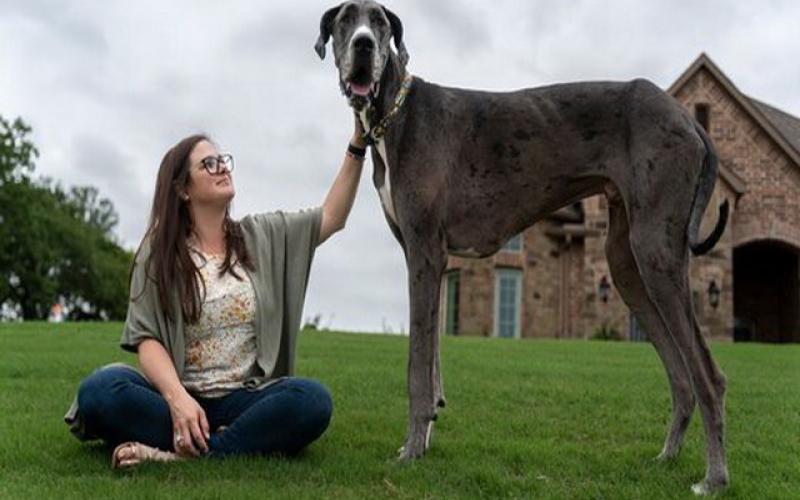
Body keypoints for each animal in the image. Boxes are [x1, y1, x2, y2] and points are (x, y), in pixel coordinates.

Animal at [316, 1, 728, 496]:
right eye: (345, 20)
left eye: (378, 21)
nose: (363, 45)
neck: (396, 113)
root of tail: (689, 120)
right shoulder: (433, 262)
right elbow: (432, 361)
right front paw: (426, 436)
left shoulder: (424, 253)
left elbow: (417, 365)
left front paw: (411, 451)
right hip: (626, 264)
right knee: (681, 374)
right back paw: (667, 457)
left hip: (656, 252)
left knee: (708, 375)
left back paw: (714, 477)